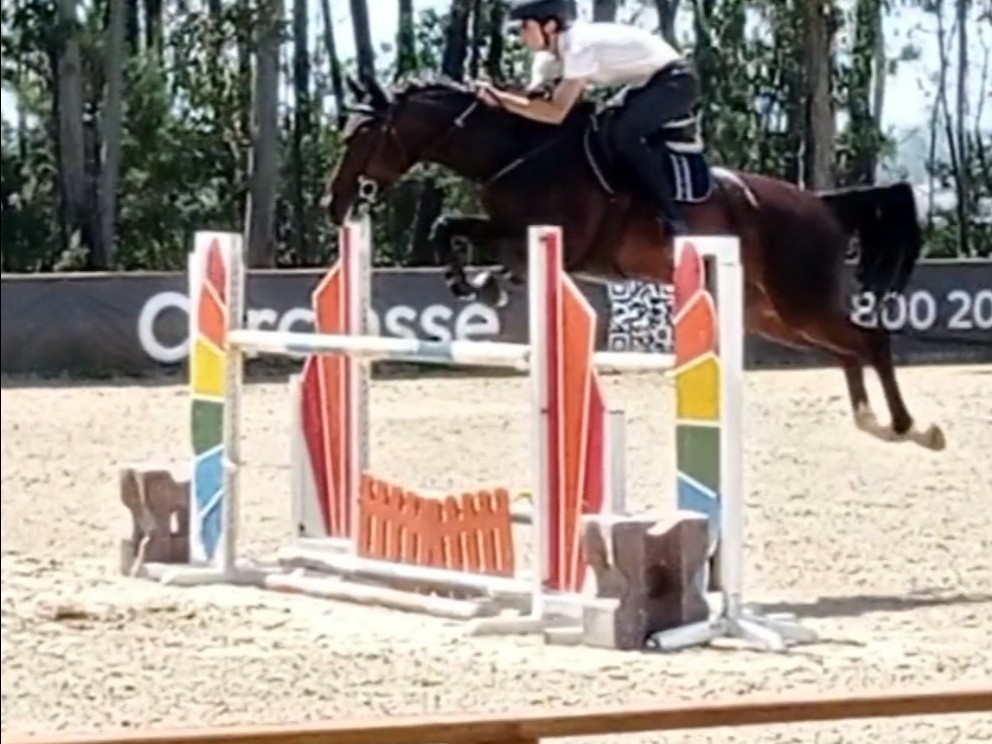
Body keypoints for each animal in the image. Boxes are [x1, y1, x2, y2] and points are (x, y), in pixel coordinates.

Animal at [320, 74, 945, 452]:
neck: (518, 153)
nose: (335, 202)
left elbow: (458, 231)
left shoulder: (554, 239)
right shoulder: (514, 234)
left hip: (800, 299)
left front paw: (479, 283)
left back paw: (912, 427)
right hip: (772, 314)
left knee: (870, 341)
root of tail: (823, 205)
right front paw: (482, 284)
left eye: (367, 133)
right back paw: (874, 422)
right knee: (848, 350)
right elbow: (449, 229)